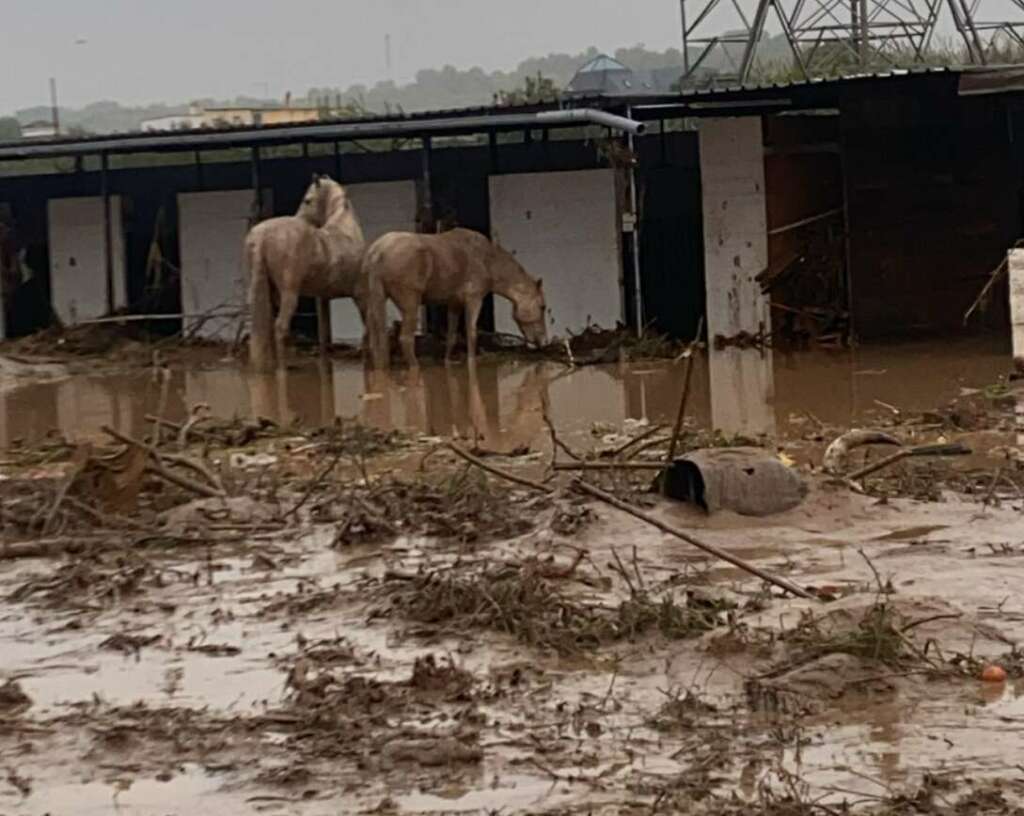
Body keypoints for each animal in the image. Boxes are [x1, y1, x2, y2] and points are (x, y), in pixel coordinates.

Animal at [245, 178, 366, 372]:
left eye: (307, 200)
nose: (298, 217)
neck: (346, 232)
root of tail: (262, 236)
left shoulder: (323, 298)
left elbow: (324, 337)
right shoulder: (359, 295)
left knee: (267, 329)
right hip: (289, 294)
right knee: (280, 328)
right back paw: (282, 368)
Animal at [362, 229, 548, 368]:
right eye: (542, 307)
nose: (544, 342)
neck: (488, 261)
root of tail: (377, 252)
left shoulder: (454, 304)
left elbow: (451, 337)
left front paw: (447, 362)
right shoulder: (473, 300)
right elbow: (471, 333)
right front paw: (472, 362)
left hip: (375, 302)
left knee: (375, 340)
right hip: (410, 305)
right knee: (406, 339)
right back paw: (415, 367)